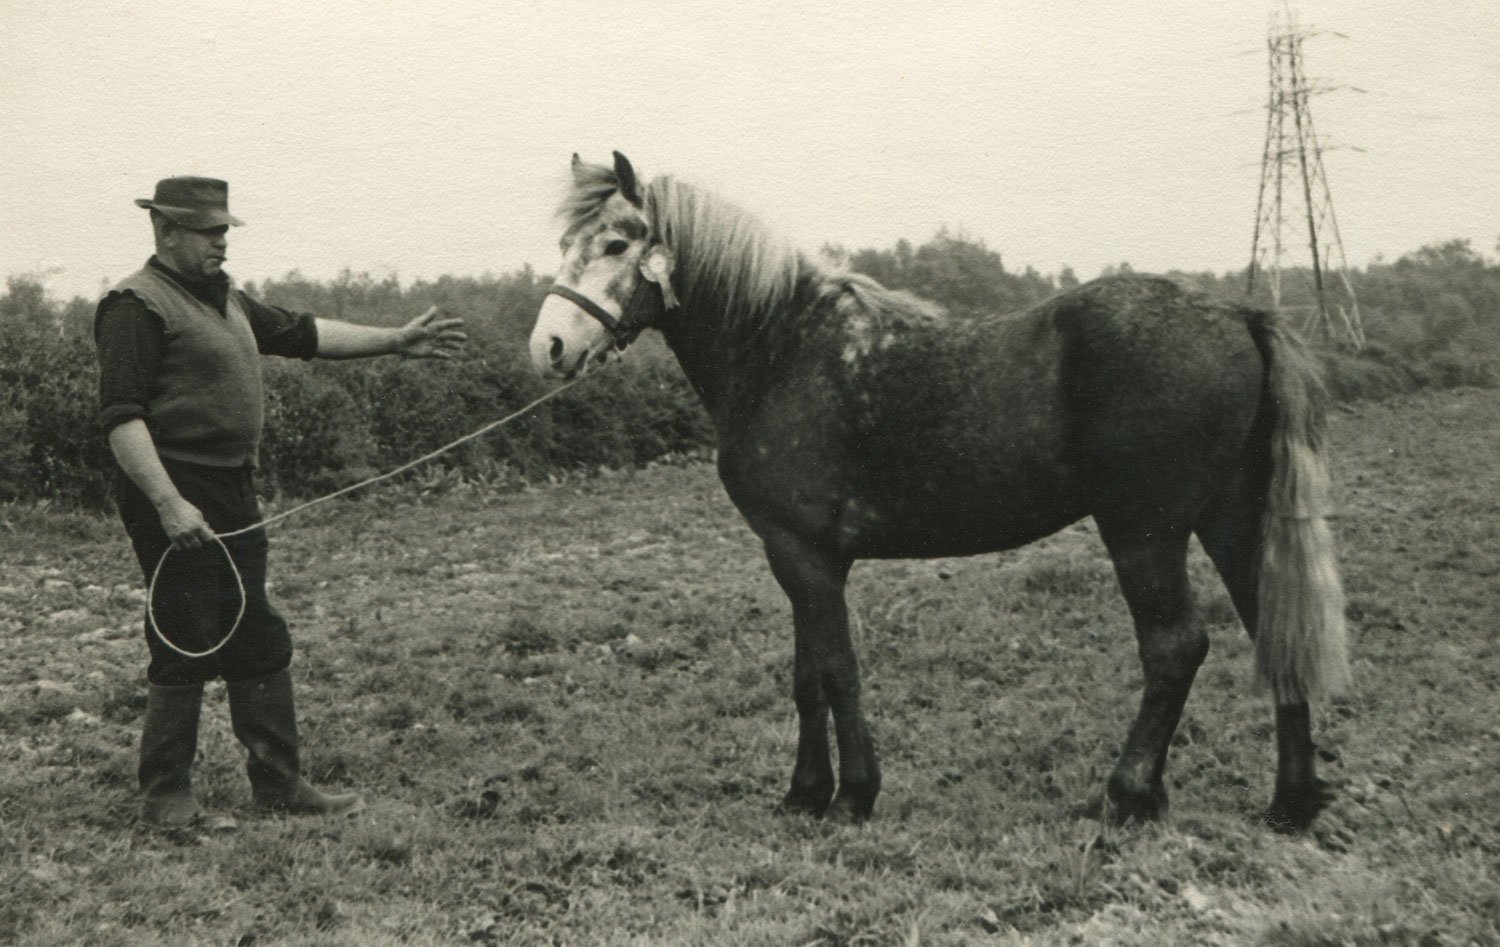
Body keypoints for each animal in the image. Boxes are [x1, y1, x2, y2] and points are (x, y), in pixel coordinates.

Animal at [528, 151, 1350, 830]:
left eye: (616, 244)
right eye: (567, 244)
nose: (550, 347)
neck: (782, 349)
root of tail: (1239, 314)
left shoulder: (804, 553)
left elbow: (837, 671)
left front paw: (853, 796)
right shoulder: (798, 557)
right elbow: (807, 676)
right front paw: (803, 793)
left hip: (1144, 531)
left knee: (1175, 647)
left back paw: (1127, 795)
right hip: (1228, 517)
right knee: (1272, 629)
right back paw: (1290, 802)